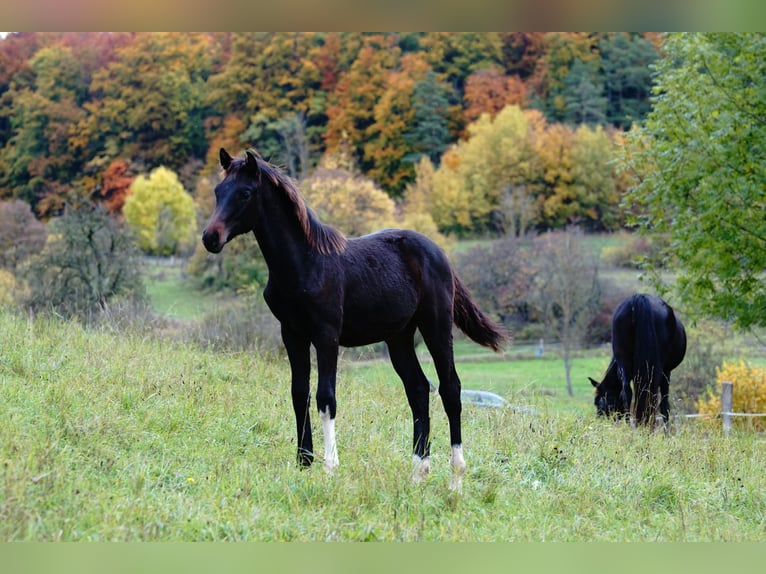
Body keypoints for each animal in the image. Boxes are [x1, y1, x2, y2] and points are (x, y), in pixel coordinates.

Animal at [202, 148, 506, 490]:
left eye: (244, 193)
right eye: (218, 191)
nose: (210, 238)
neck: (305, 263)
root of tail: (440, 254)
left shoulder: (326, 336)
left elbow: (326, 397)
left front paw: (330, 467)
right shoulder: (292, 334)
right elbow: (299, 393)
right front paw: (304, 462)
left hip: (436, 325)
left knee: (450, 389)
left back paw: (456, 479)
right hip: (399, 336)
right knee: (418, 389)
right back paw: (418, 473)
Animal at [589, 293, 686, 426]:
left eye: (597, 402)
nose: (600, 422)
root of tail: (638, 298)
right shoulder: (666, 372)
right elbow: (664, 404)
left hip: (625, 363)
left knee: (627, 393)